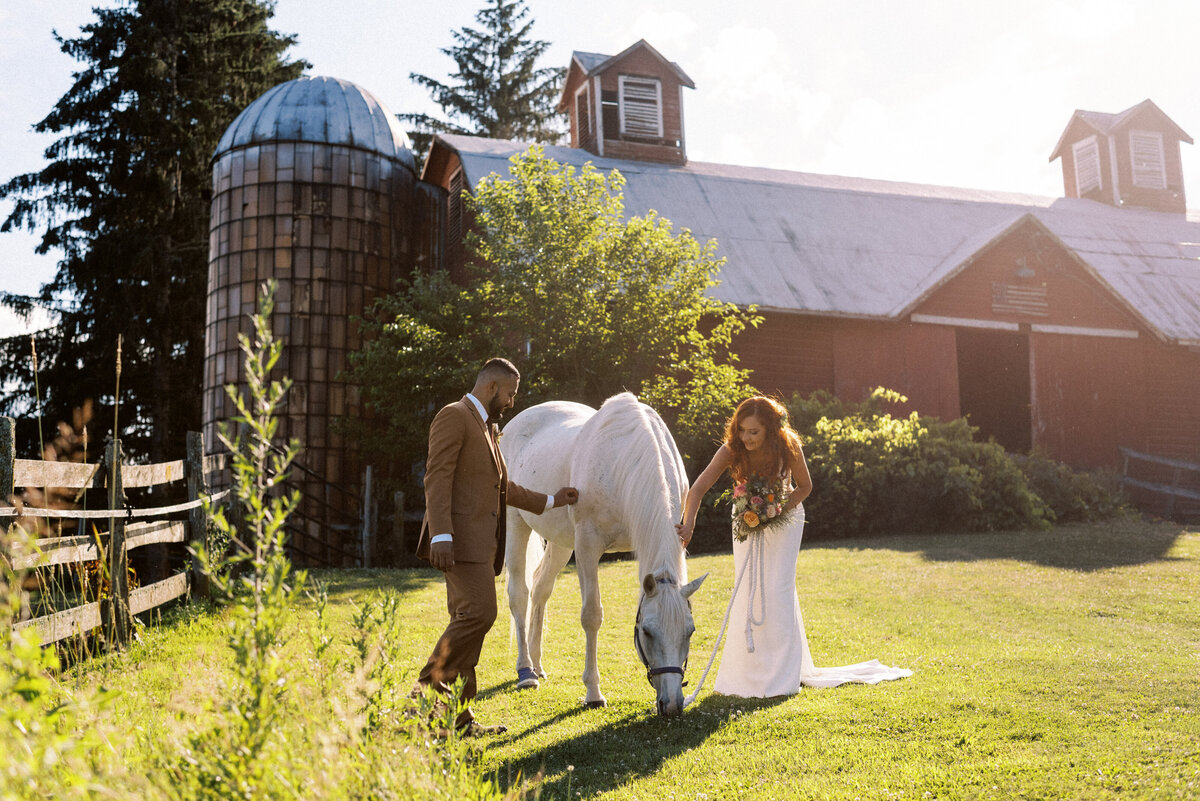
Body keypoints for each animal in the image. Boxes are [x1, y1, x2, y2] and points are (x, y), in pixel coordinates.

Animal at [496, 390, 700, 714]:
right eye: (647, 632)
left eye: (689, 632)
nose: (672, 705)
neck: (623, 461)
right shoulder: (587, 547)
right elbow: (591, 615)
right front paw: (593, 692)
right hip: (517, 525)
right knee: (519, 595)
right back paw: (526, 672)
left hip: (561, 543)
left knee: (541, 589)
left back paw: (538, 665)